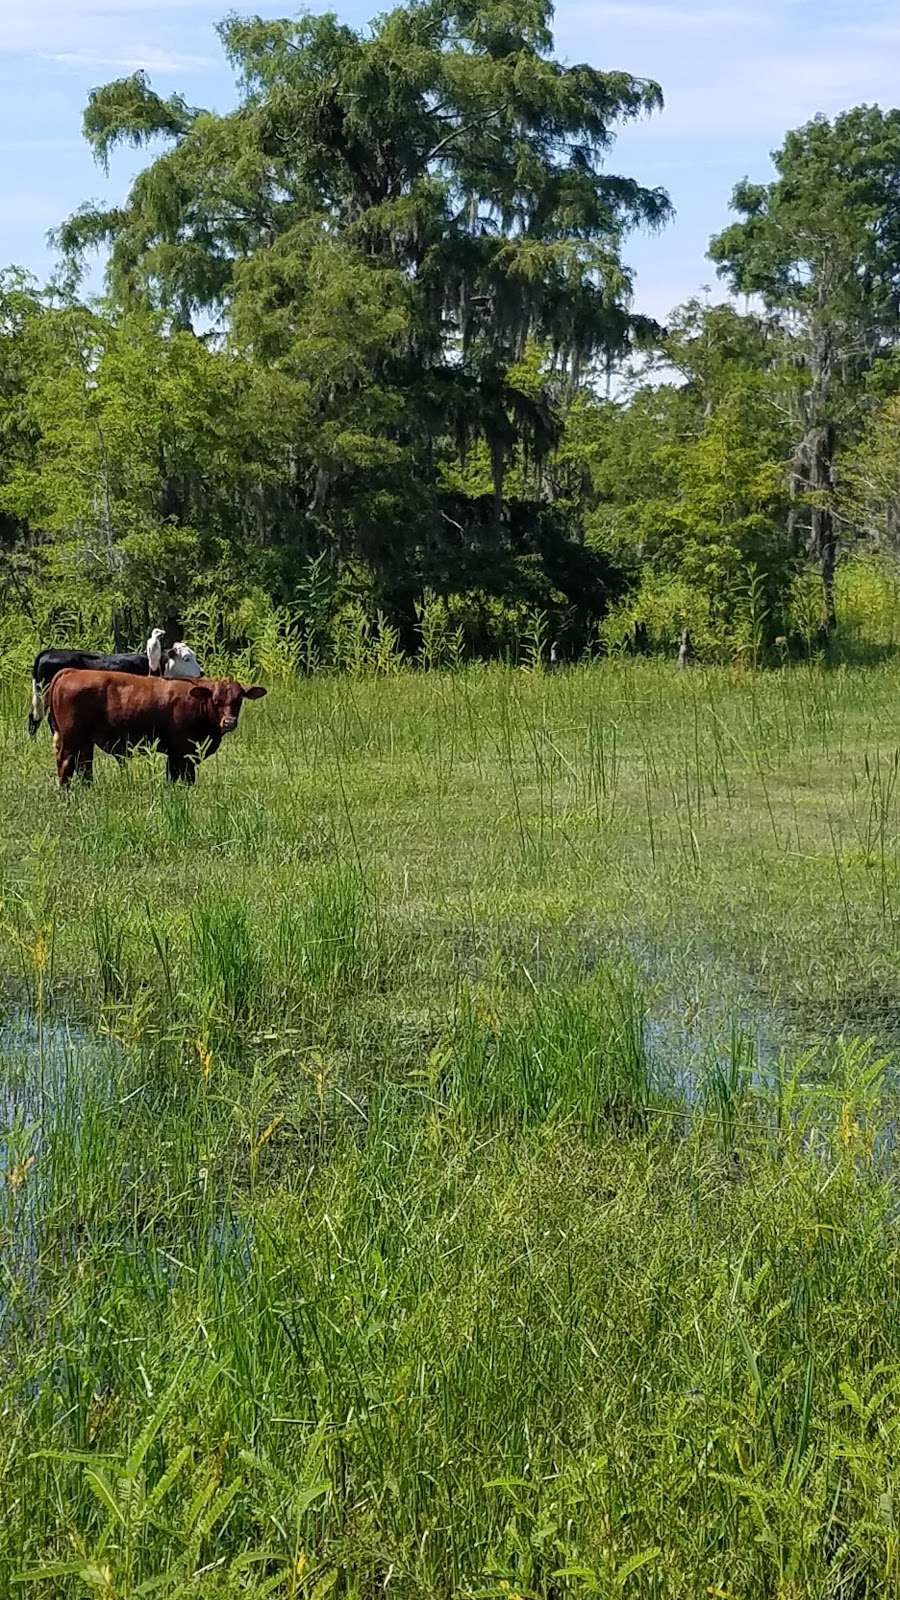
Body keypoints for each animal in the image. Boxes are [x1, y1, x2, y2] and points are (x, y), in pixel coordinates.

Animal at [49, 668, 265, 787]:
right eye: (216, 699)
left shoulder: (175, 753)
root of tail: (73, 671)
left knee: (84, 766)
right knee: (66, 764)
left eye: (239, 700)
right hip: (71, 738)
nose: (229, 722)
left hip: (85, 741)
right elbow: (185, 777)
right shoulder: (183, 751)